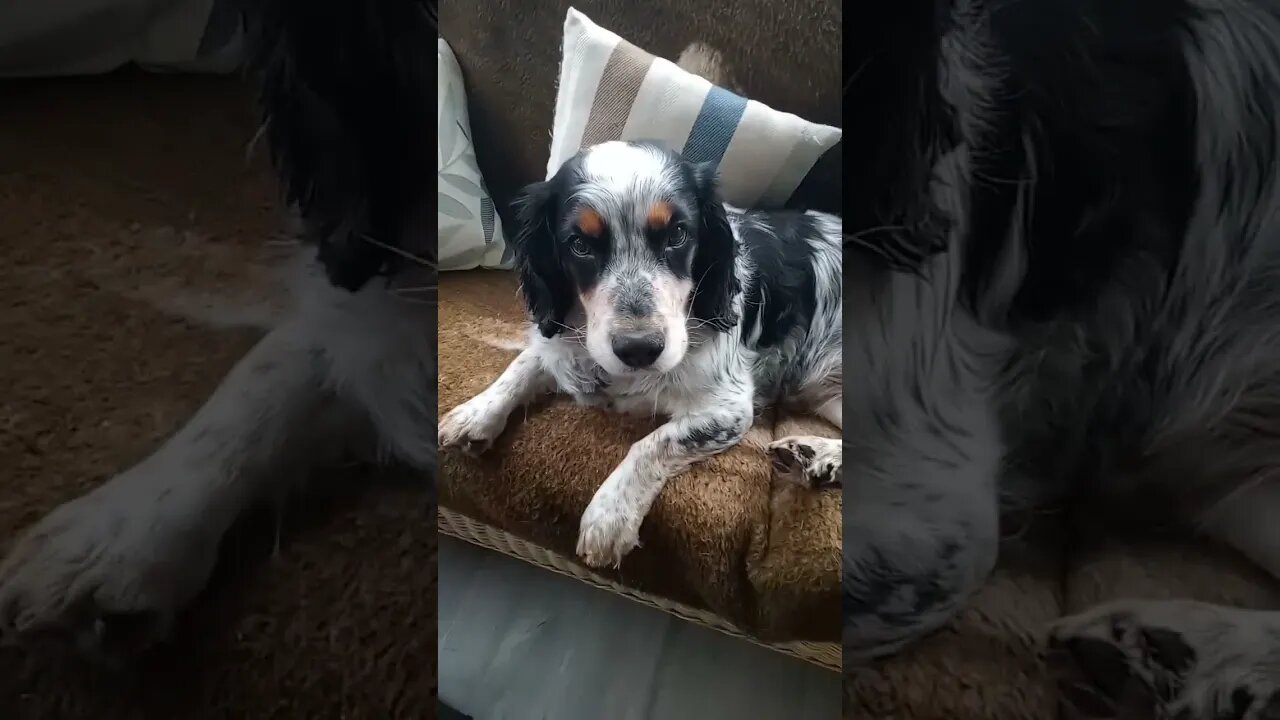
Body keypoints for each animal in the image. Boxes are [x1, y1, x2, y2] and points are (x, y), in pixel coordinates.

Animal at [440, 139, 849, 566]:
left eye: (678, 234)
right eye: (580, 244)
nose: (638, 349)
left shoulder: (730, 409)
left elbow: (652, 443)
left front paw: (609, 516)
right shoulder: (559, 347)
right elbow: (524, 363)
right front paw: (475, 413)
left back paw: (817, 453)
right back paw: (813, 453)